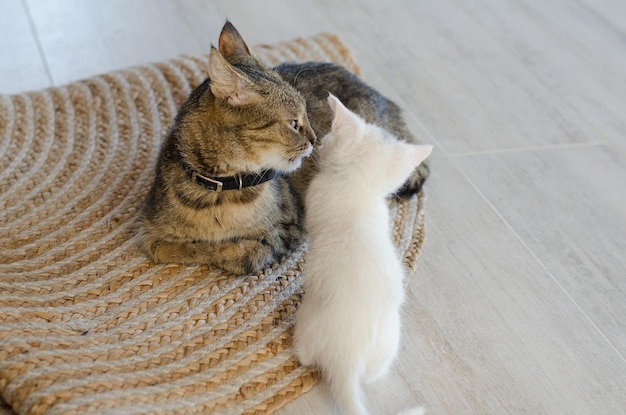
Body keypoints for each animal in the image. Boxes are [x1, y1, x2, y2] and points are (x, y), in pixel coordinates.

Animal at [138, 22, 426, 276]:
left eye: (306, 115)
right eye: (293, 123)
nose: (315, 139)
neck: (221, 191)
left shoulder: (287, 227)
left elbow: (245, 256)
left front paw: (227, 248)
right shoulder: (149, 231)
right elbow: (171, 248)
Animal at [292, 95, 428, 415]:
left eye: (326, 138)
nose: (319, 145)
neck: (355, 184)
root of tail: (347, 360)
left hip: (306, 323)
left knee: (304, 355)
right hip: (389, 342)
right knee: (373, 375)